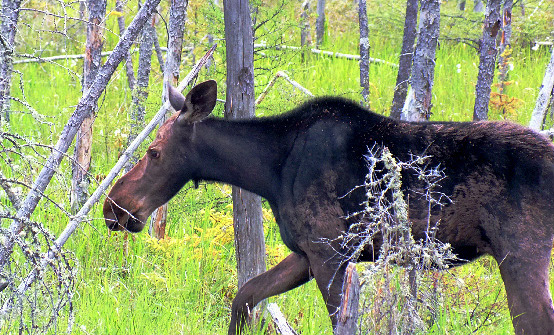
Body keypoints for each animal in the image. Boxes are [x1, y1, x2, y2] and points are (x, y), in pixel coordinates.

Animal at [102, 80, 552, 334]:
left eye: (155, 153)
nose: (114, 207)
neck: (270, 172)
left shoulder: (329, 252)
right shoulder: (309, 252)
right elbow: (245, 295)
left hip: (521, 253)